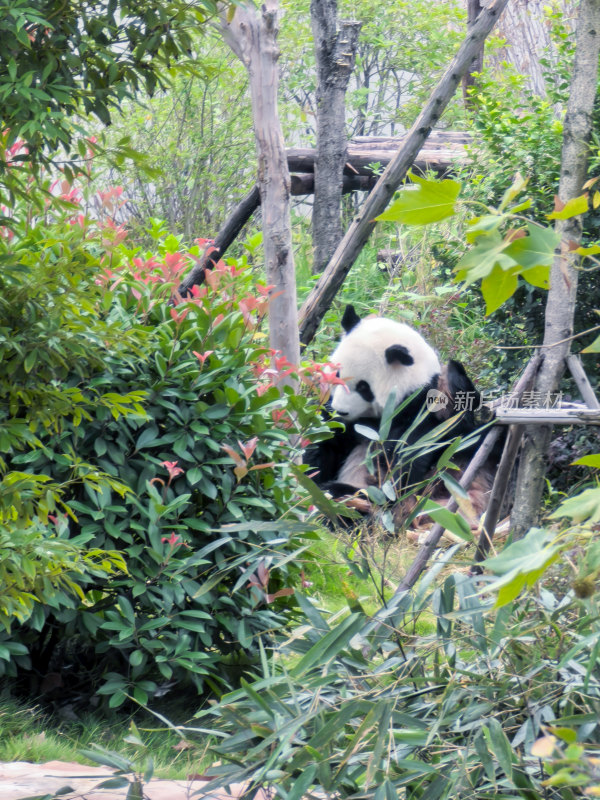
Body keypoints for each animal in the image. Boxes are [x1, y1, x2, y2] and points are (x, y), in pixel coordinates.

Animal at [310, 304, 492, 524]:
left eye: (363, 387)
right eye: (337, 374)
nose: (340, 410)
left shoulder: (422, 418)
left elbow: (400, 475)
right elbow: (325, 439)